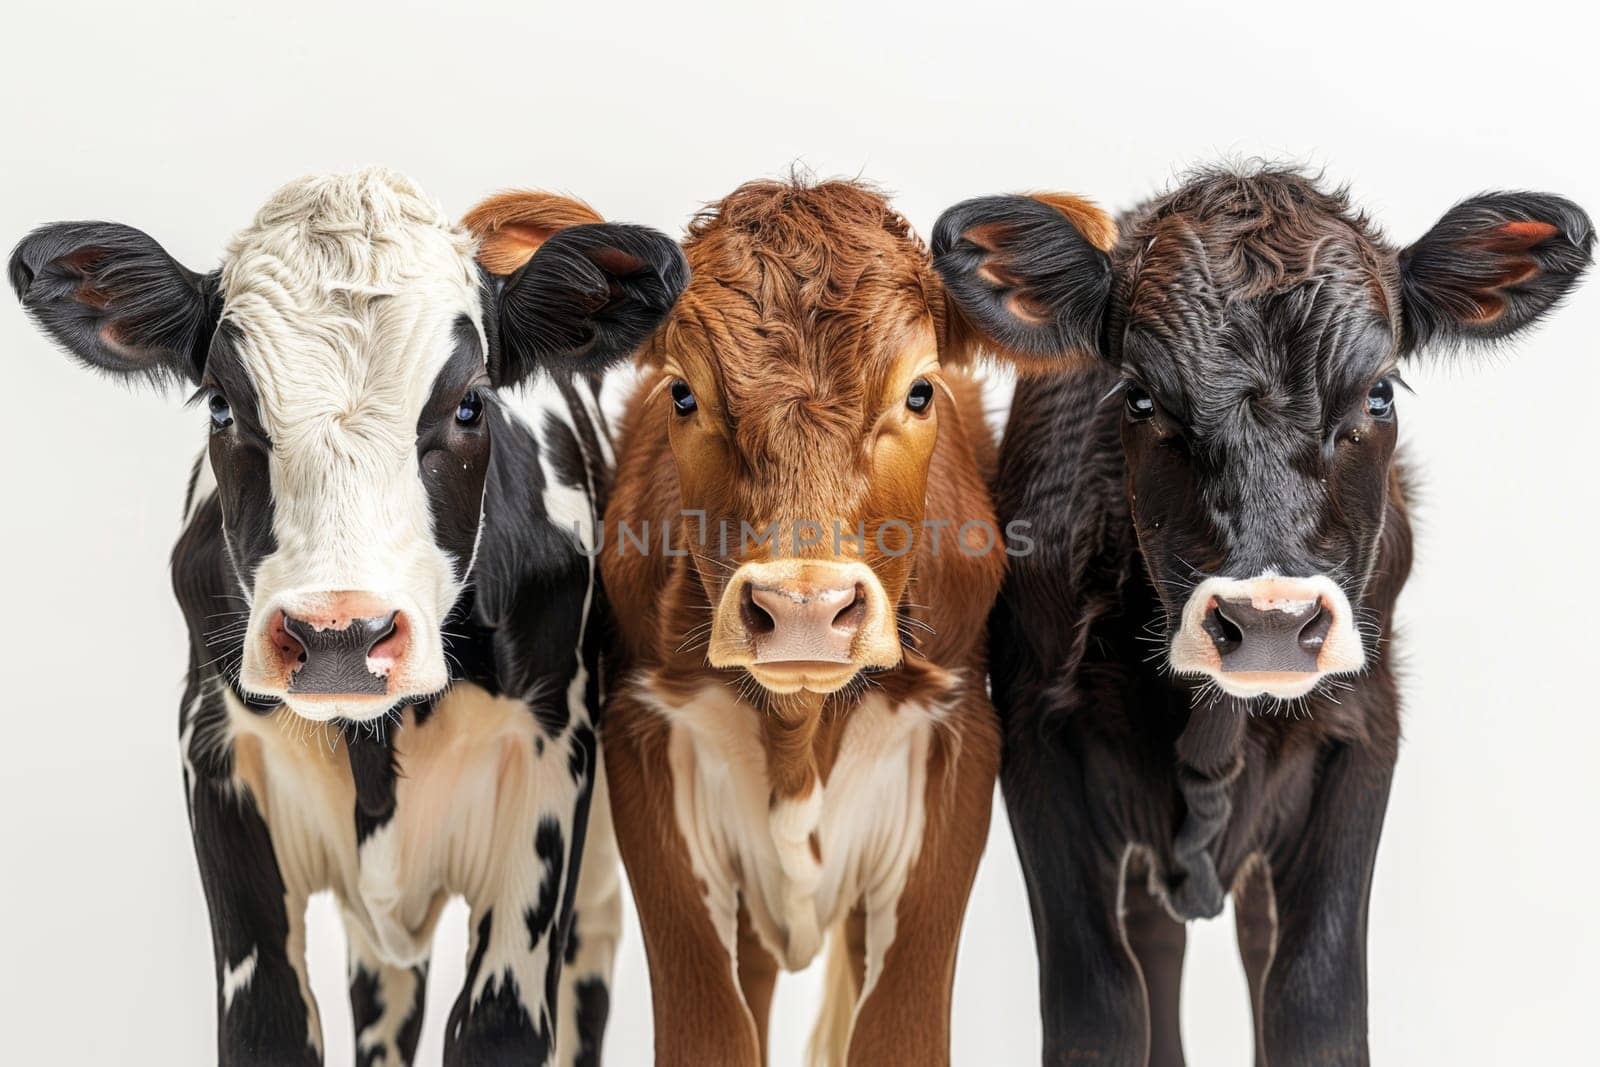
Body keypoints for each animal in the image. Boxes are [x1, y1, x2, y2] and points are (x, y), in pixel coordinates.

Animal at [10, 171, 688, 1062]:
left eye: (470, 404)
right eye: (222, 405)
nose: (341, 636)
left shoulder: (551, 766)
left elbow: (500, 1022)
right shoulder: (217, 757)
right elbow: (269, 1020)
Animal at [601, 179, 1100, 1062]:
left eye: (920, 390)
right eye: (682, 393)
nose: (803, 607)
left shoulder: (958, 743)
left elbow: (894, 1027)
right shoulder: (642, 739)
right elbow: (712, 1027)